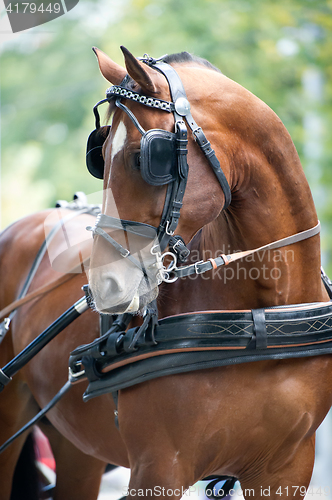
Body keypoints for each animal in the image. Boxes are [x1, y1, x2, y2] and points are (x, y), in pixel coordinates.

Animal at [0, 44, 330, 500]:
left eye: (144, 158)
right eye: (99, 156)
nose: (104, 285)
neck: (261, 316)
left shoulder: (286, 470)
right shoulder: (159, 467)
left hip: (77, 448)